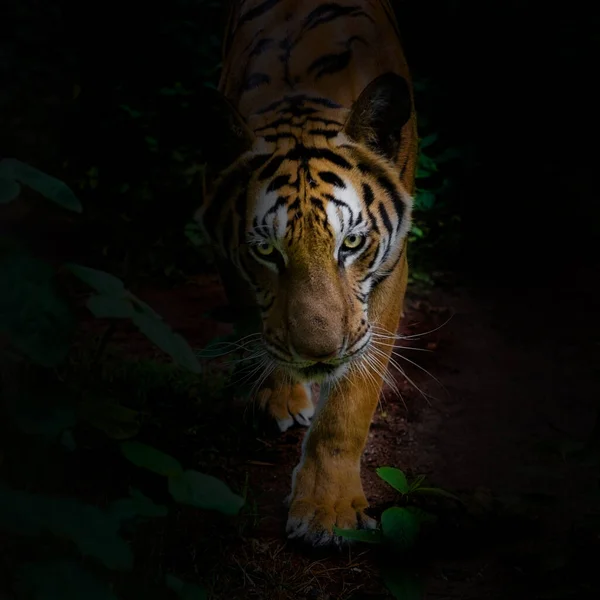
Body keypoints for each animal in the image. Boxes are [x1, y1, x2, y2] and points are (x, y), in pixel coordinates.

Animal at [196, 0, 418, 548]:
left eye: (352, 243)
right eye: (266, 251)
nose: (319, 355)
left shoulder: (387, 272)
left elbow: (350, 400)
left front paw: (327, 511)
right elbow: (258, 325)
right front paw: (278, 395)